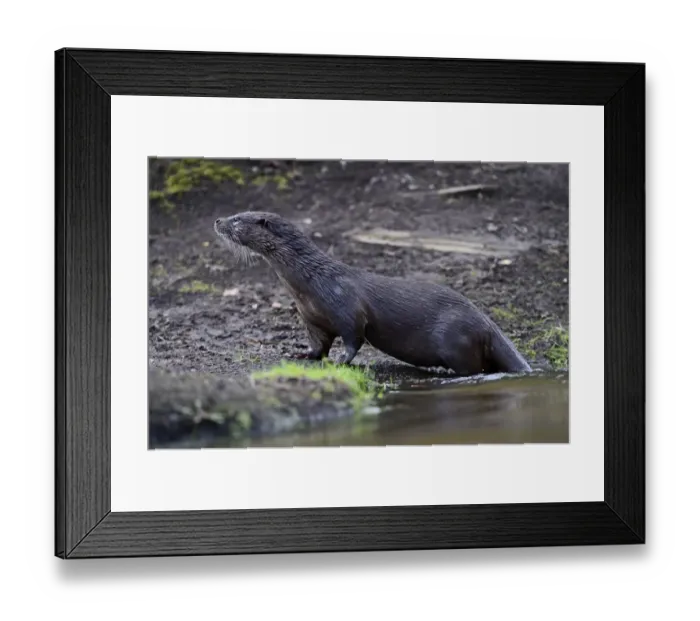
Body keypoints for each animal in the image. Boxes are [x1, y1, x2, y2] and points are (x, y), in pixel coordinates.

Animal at [214, 211, 532, 376]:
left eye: (238, 219)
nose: (217, 220)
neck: (312, 283)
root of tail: (486, 323)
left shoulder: (348, 311)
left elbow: (353, 340)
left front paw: (341, 362)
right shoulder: (313, 320)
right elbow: (318, 345)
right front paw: (300, 354)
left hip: (456, 338)